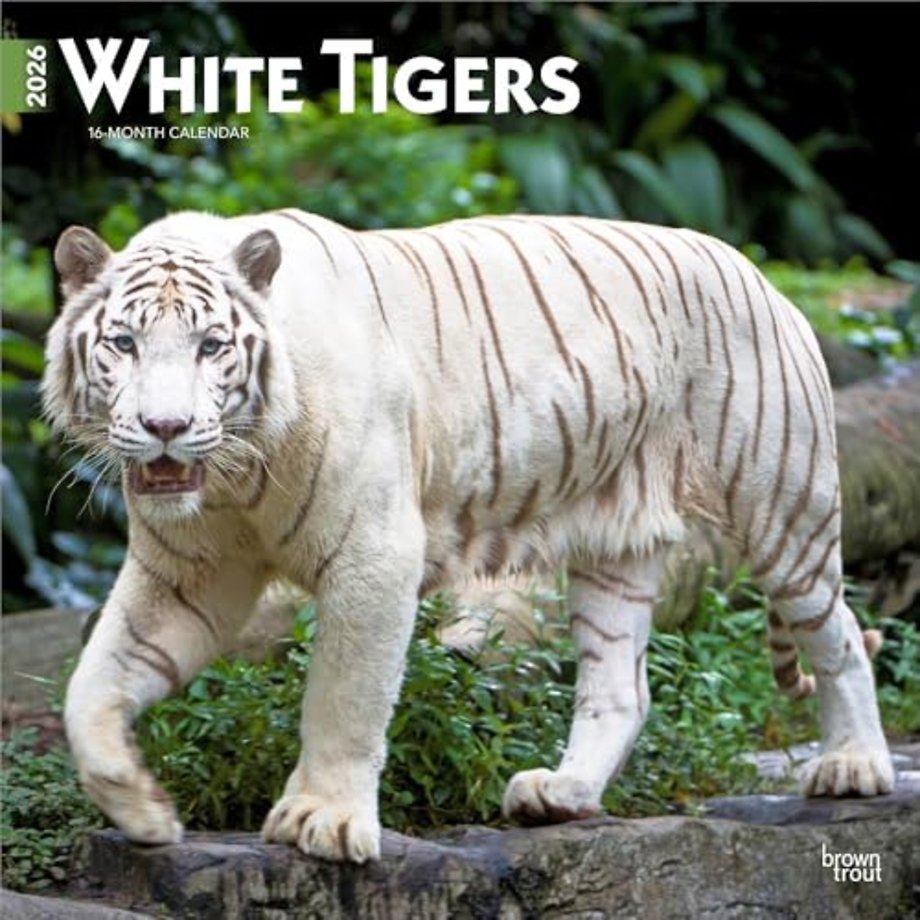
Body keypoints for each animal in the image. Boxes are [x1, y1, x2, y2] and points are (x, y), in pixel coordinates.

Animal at [43, 209, 894, 864]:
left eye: (211, 347)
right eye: (123, 343)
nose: (165, 427)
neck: (234, 476)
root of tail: (759, 272)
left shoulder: (374, 555)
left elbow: (344, 697)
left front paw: (324, 820)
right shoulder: (188, 574)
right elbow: (90, 686)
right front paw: (143, 809)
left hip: (783, 503)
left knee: (841, 635)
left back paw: (855, 766)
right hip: (613, 549)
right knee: (622, 687)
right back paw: (562, 793)